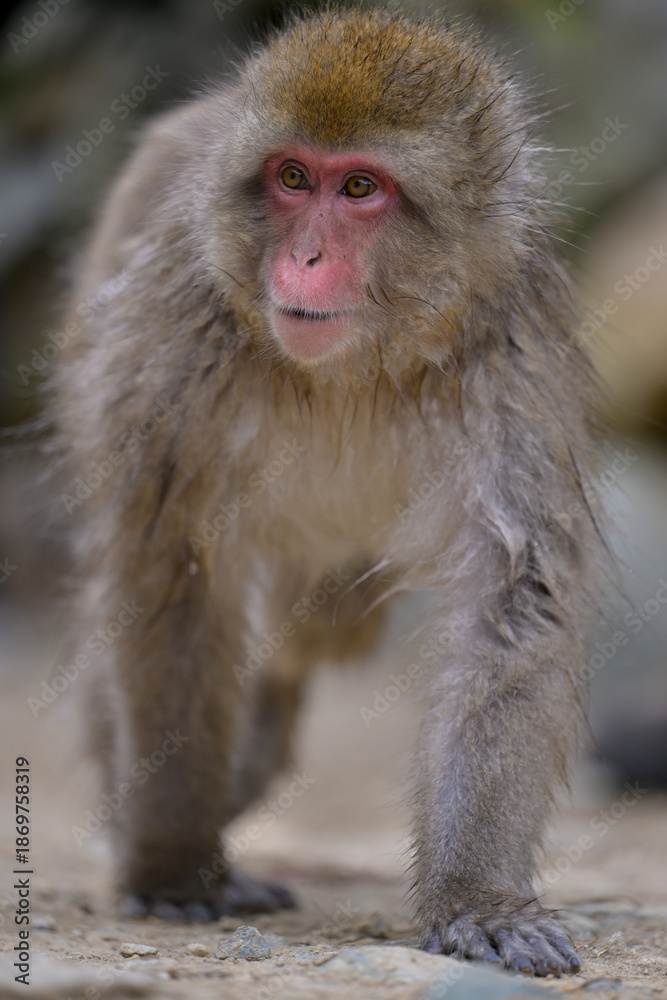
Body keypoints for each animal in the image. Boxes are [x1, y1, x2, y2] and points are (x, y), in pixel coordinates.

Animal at [50, 6, 603, 977]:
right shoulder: (173, 333)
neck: (353, 368)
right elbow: (170, 576)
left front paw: (478, 898)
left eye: (359, 190)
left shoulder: (511, 348)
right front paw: (172, 866)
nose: (305, 256)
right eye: (292, 177)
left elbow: (510, 602)